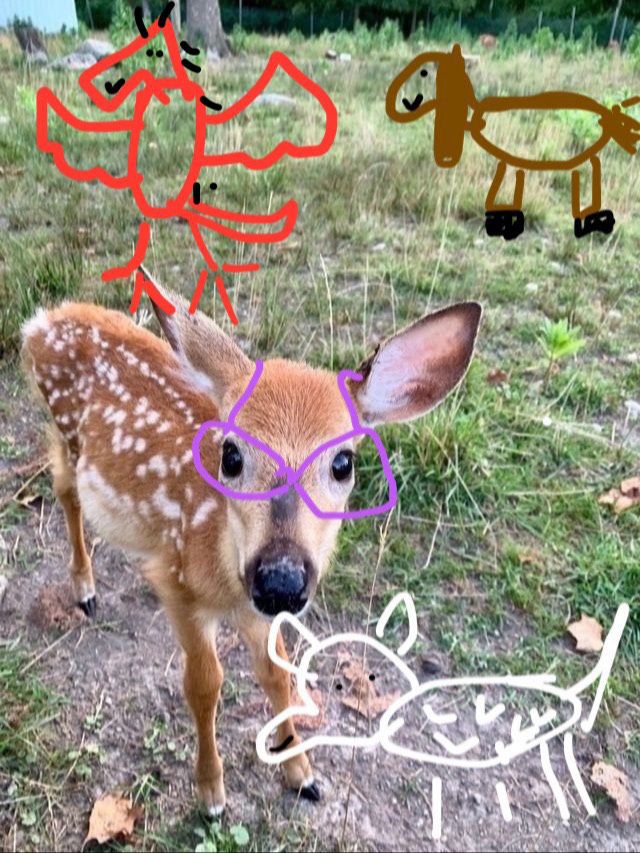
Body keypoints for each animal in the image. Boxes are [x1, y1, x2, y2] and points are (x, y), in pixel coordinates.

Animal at [21, 277, 481, 814]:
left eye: (343, 463)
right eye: (231, 454)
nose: (281, 578)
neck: (224, 568)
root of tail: (40, 322)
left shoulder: (258, 607)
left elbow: (278, 675)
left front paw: (302, 774)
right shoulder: (176, 582)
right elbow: (204, 685)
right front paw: (211, 791)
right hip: (65, 432)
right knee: (64, 488)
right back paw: (84, 588)